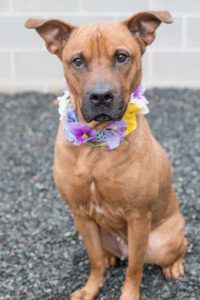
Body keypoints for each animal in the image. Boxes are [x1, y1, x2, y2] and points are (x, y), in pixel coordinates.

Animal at [25, 11, 188, 300]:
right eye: (77, 61)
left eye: (122, 57)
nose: (101, 96)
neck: (96, 146)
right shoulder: (81, 214)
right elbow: (95, 259)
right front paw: (91, 289)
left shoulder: (138, 217)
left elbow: (134, 268)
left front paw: (128, 295)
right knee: (106, 254)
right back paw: (112, 258)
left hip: (163, 240)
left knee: (177, 248)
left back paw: (174, 267)